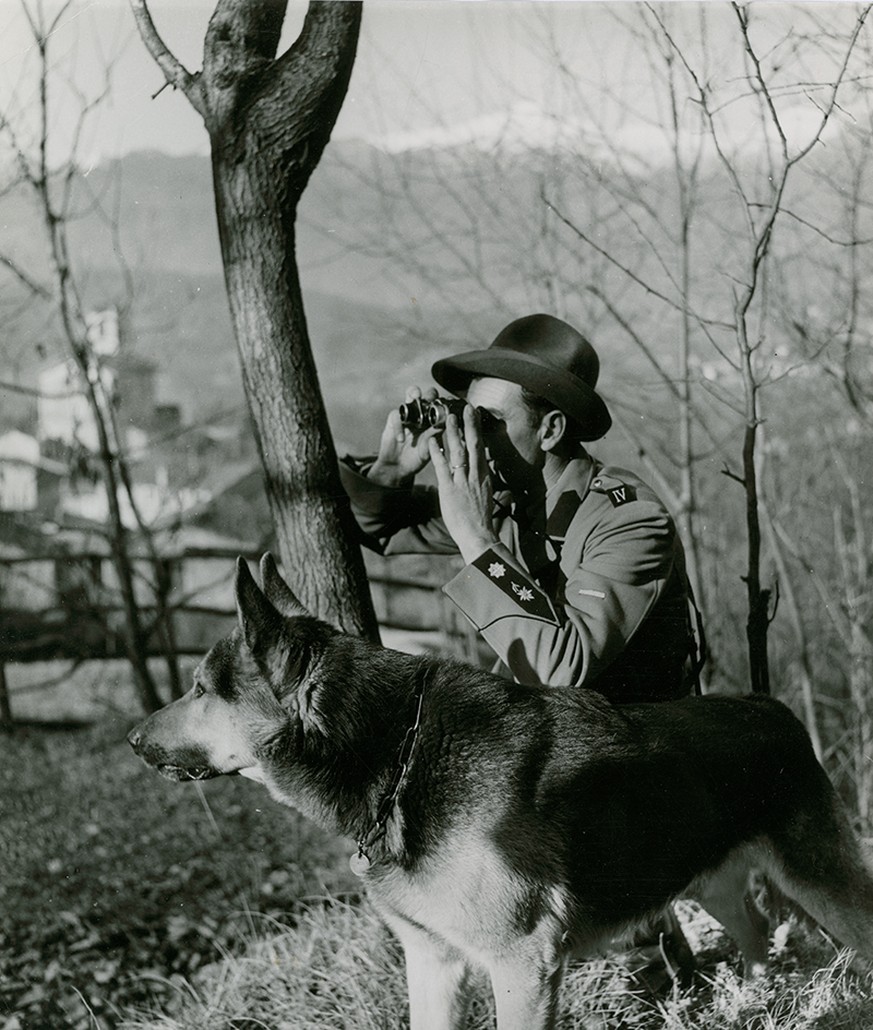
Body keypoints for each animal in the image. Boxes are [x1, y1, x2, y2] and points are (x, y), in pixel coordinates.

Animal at [127, 556, 873, 1030]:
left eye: (199, 688)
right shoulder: (433, 964)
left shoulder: (523, 963)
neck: (398, 756)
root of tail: (773, 708)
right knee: (754, 930)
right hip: (706, 880)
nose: (132, 739)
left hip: (823, 883)